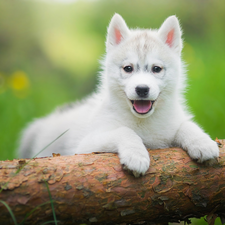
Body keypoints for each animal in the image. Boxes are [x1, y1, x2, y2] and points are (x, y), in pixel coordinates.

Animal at [18, 14, 219, 178]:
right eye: (128, 68)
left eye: (156, 69)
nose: (142, 89)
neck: (143, 122)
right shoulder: (87, 144)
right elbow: (124, 131)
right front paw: (136, 155)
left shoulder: (170, 126)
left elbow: (186, 125)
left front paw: (203, 142)